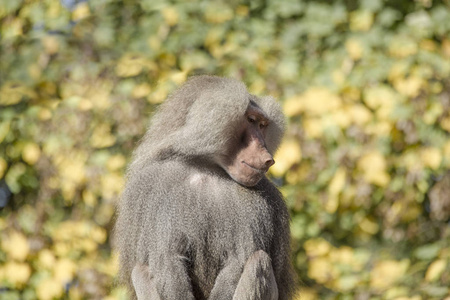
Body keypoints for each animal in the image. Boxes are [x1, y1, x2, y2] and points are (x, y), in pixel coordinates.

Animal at [114, 75, 294, 300]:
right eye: (251, 120)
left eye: (263, 125)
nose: (268, 158)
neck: (206, 169)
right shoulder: (154, 186)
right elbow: (166, 259)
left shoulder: (259, 203)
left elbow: (239, 260)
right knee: (140, 270)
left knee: (258, 261)